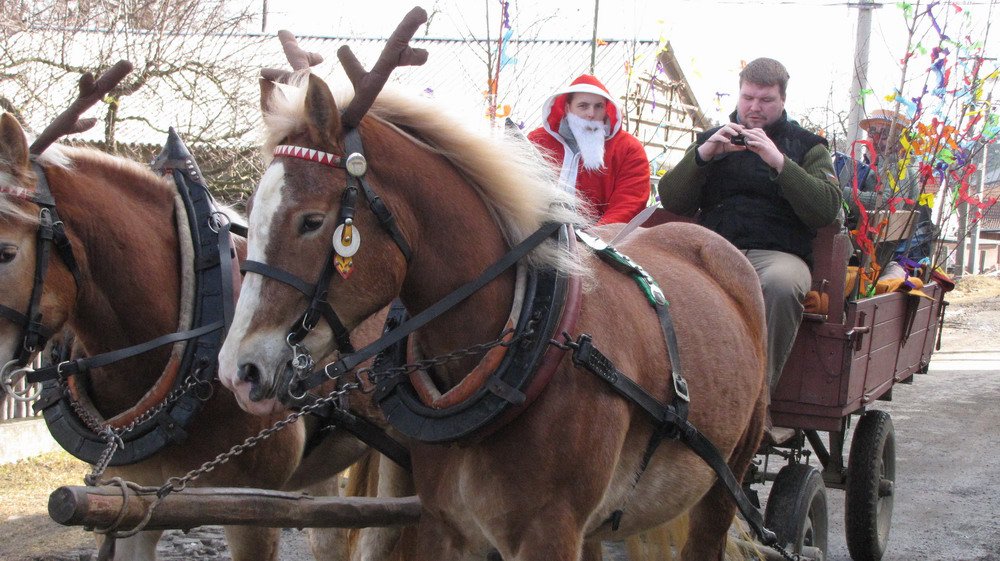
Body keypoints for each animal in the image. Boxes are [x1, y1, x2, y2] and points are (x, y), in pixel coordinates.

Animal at [217, 66, 764, 560]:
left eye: (311, 221)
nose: (238, 371)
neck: (527, 344)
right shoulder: (442, 524)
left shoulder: (550, 533)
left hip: (725, 484)